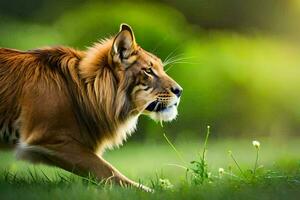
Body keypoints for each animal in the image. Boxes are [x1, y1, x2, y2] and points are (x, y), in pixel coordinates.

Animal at [0, 24, 183, 191]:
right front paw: (156, 192)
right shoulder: (48, 138)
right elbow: (108, 170)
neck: (84, 89)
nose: (180, 91)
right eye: (149, 71)